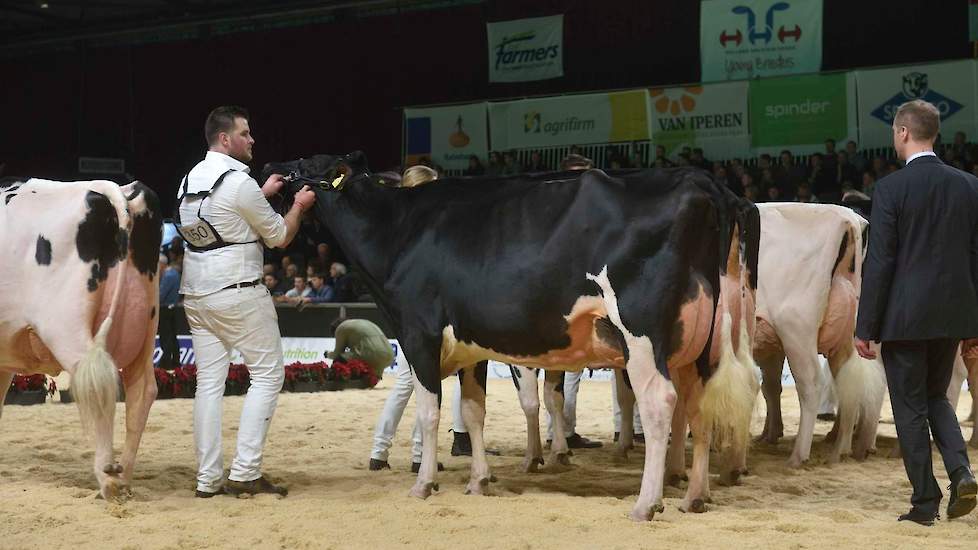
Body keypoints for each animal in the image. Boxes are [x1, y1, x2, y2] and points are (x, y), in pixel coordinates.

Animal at [270, 154, 760, 520]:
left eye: (307, 163)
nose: (273, 168)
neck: (396, 231)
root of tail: (703, 181)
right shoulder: (470, 346)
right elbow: (473, 411)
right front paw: (479, 480)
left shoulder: (418, 335)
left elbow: (429, 413)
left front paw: (424, 484)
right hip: (701, 343)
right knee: (699, 409)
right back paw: (694, 496)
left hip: (642, 336)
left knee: (660, 405)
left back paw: (646, 504)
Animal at [748, 205, 884, 468]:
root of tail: (848, 218)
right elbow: (770, 386)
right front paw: (770, 434)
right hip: (845, 337)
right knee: (850, 383)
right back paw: (841, 450)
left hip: (795, 329)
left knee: (812, 384)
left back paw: (799, 456)